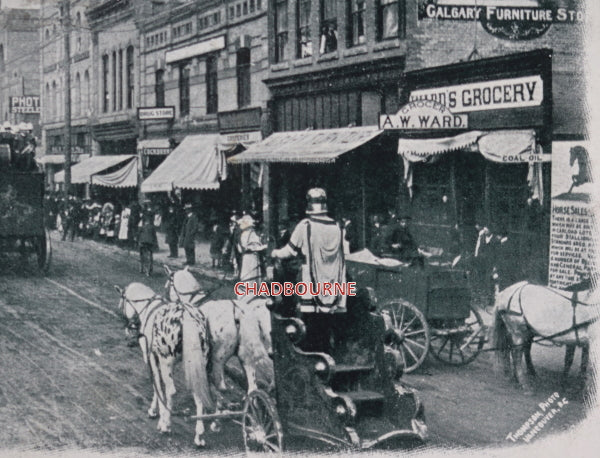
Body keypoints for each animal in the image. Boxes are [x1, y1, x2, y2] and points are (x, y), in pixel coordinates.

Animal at [115, 282, 213, 448]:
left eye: (122, 299)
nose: (127, 328)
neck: (149, 308)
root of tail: (186, 316)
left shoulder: (152, 358)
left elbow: (158, 386)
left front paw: (157, 414)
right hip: (198, 365)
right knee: (199, 393)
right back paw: (199, 435)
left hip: (167, 361)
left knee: (171, 390)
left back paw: (166, 424)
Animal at [163, 264, 274, 398]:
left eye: (167, 284)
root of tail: (236, 312)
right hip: (245, 354)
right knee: (252, 381)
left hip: (219, 355)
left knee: (221, 383)